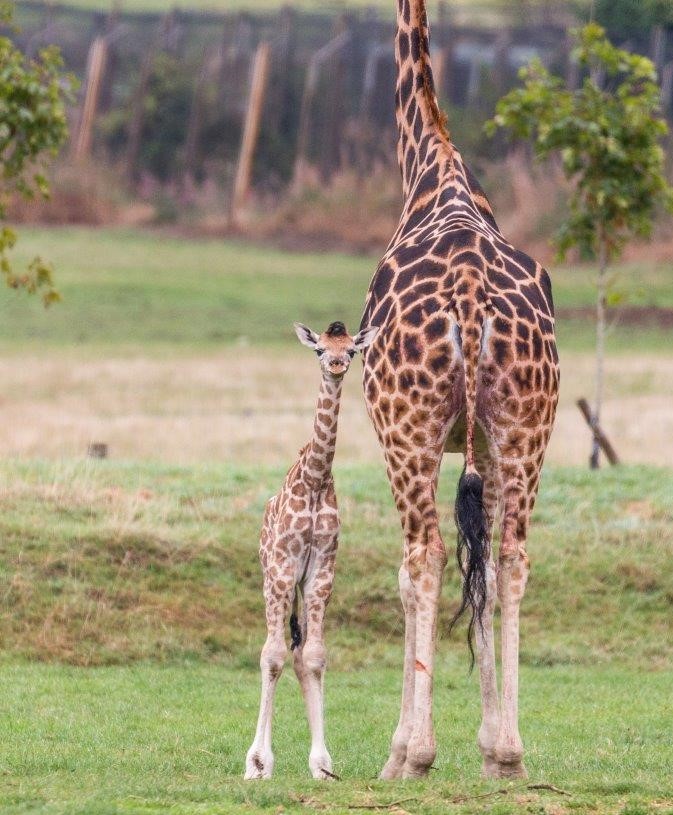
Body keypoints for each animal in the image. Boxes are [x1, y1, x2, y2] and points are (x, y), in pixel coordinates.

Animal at [244, 320, 376, 784]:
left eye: (351, 350)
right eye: (319, 349)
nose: (336, 365)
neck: (316, 480)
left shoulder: (321, 569)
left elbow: (314, 657)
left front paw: (322, 764)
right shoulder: (285, 566)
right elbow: (272, 656)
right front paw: (258, 762)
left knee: (299, 653)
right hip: (271, 578)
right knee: (273, 651)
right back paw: (259, 762)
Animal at [360, 0, 560, 780]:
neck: (429, 164)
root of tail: (471, 298)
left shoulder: (408, 435)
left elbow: (413, 571)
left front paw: (403, 747)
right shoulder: (486, 444)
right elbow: (487, 571)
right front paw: (489, 744)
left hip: (406, 428)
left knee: (423, 556)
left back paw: (411, 755)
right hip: (529, 428)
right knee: (511, 556)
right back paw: (511, 752)